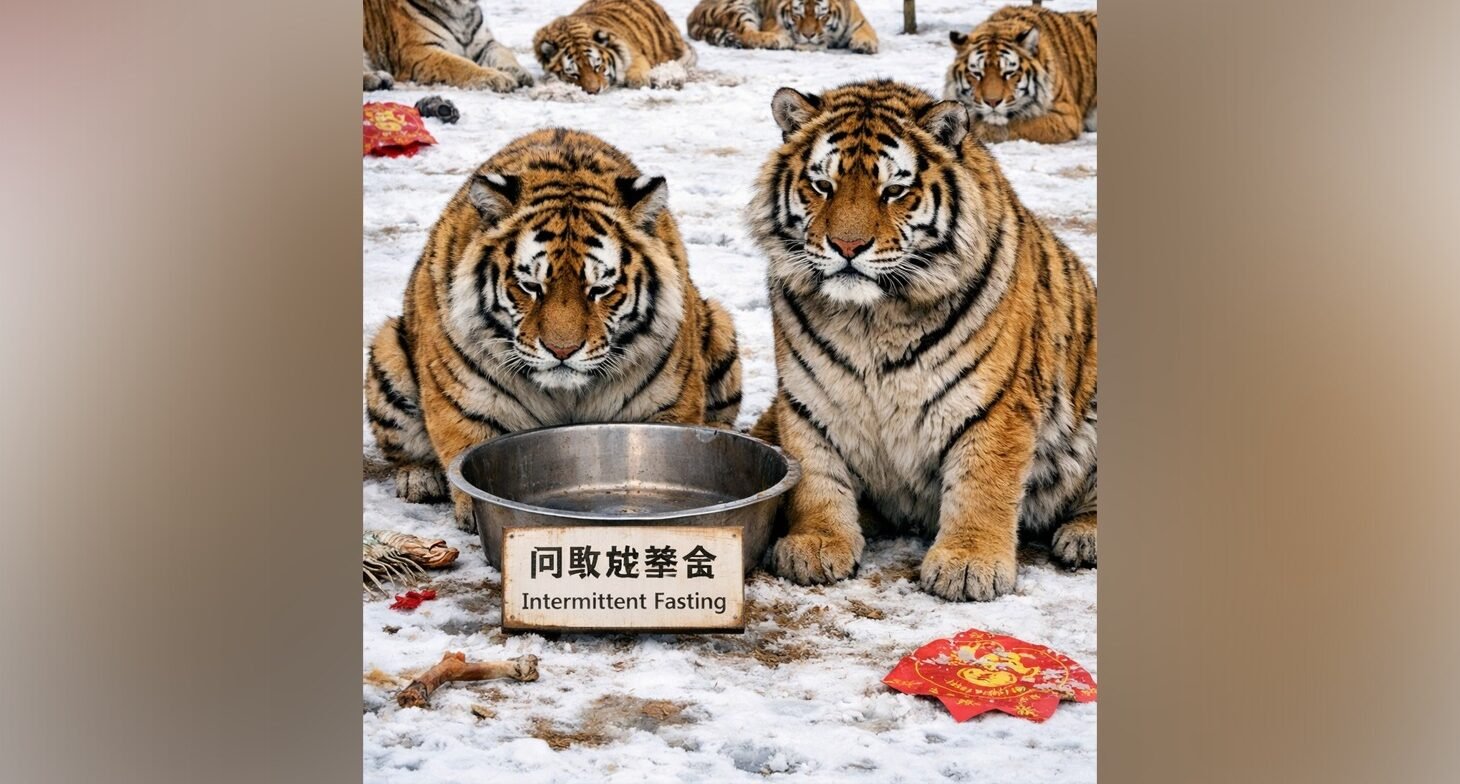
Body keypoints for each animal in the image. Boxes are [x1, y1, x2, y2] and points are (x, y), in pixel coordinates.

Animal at [363, 0, 533, 92]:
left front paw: (521, 73)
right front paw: (498, 77)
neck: (460, 9)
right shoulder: (419, 51)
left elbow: (504, 53)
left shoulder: (484, 43)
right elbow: (459, 64)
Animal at [366, 128, 743, 530]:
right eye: (530, 286)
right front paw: (469, 509)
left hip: (720, 326)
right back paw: (419, 478)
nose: (562, 350)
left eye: (600, 289)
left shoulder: (667, 406)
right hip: (387, 350)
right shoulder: (466, 403)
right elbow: (464, 443)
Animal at [687, 0, 878, 55]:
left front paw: (865, 44)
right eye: (797, 15)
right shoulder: (772, 21)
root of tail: (691, 16)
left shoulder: (859, 21)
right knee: (747, 35)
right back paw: (778, 41)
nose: (808, 35)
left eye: (821, 17)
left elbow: (866, 32)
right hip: (737, 8)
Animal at [747, 80, 1097, 601]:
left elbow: (981, 485)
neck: (870, 319)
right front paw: (817, 543)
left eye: (894, 191)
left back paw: (1085, 536)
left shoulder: (995, 404)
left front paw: (969, 564)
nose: (847, 247)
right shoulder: (807, 396)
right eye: (823, 185)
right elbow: (814, 472)